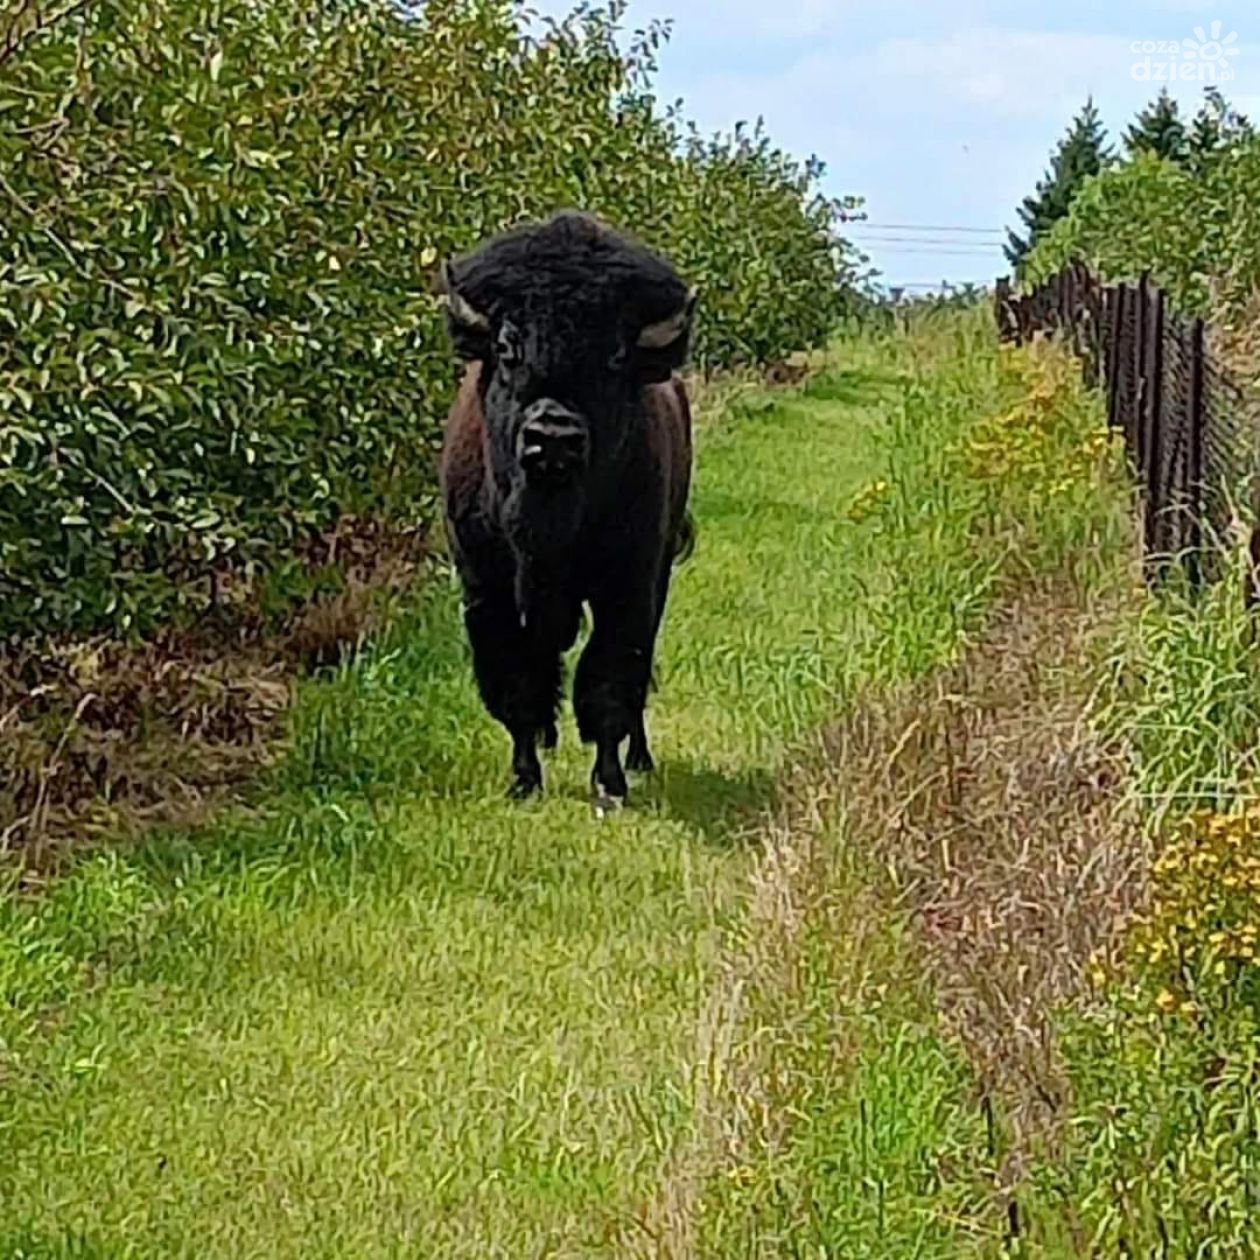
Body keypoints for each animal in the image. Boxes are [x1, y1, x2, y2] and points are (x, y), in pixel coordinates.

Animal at [435, 212, 695, 806]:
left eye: (616, 357)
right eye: (507, 347)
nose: (552, 435)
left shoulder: (628, 585)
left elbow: (609, 679)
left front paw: (610, 784)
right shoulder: (486, 589)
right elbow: (516, 683)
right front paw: (524, 779)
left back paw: (640, 759)